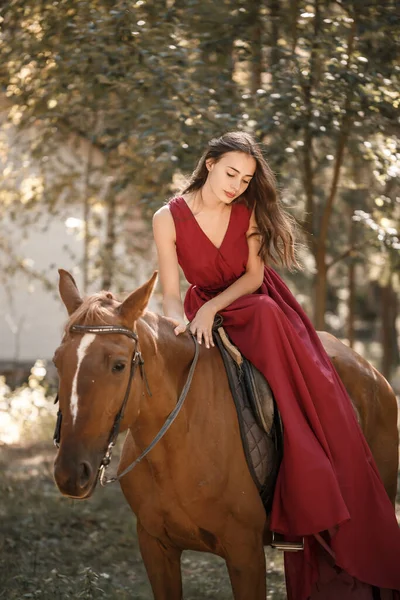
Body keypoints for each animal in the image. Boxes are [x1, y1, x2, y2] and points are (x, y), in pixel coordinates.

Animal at [54, 270, 400, 600]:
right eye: (58, 362)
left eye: (119, 365)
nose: (70, 473)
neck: (177, 445)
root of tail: (372, 373)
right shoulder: (155, 547)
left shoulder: (245, 554)